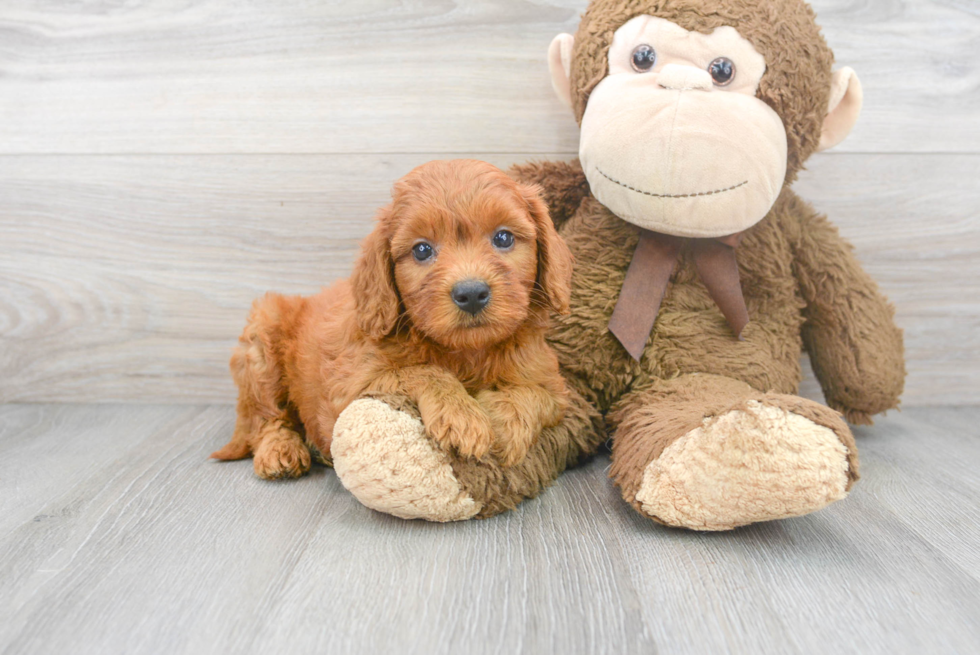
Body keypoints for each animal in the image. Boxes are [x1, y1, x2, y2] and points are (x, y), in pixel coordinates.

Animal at [211, 159, 572, 476]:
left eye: (503, 237)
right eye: (422, 250)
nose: (471, 293)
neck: (467, 352)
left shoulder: (555, 385)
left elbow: (538, 395)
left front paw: (504, 423)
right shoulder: (350, 384)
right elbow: (421, 371)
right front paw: (462, 415)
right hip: (262, 336)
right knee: (266, 417)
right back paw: (279, 450)